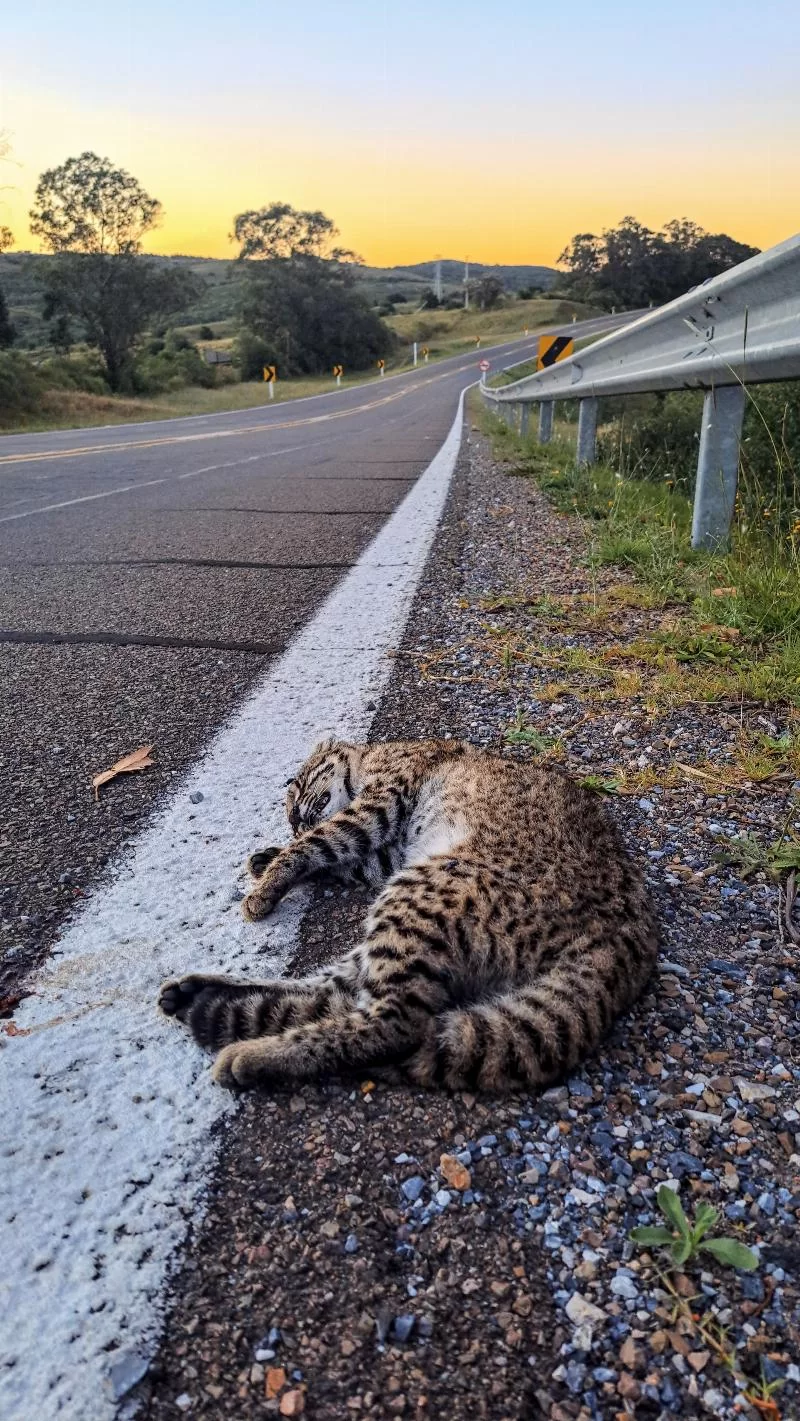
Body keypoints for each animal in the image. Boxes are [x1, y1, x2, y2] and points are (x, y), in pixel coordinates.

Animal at [159, 744, 659, 1085]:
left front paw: (270, 875)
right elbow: (333, 859)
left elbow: (318, 845)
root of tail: (629, 932)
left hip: (421, 893)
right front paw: (268, 858)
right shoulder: (385, 854)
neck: (372, 756)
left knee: (395, 1023)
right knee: (332, 991)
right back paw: (203, 993)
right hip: (405, 903)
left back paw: (253, 1053)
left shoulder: (377, 805)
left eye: (298, 789)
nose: (296, 819)